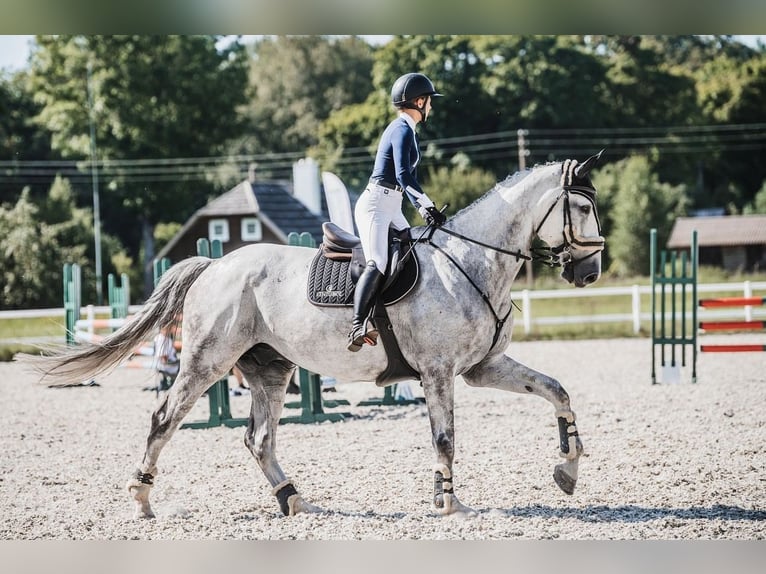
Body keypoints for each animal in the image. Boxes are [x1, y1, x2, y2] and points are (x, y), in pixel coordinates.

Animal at [24, 153, 608, 520]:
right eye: (581, 208)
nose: (590, 272)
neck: (468, 261)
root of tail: (215, 264)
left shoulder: (481, 368)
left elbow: (556, 390)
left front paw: (568, 469)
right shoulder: (439, 372)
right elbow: (445, 439)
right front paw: (449, 504)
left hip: (271, 368)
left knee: (258, 438)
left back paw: (293, 499)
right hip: (207, 362)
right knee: (165, 417)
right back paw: (143, 501)